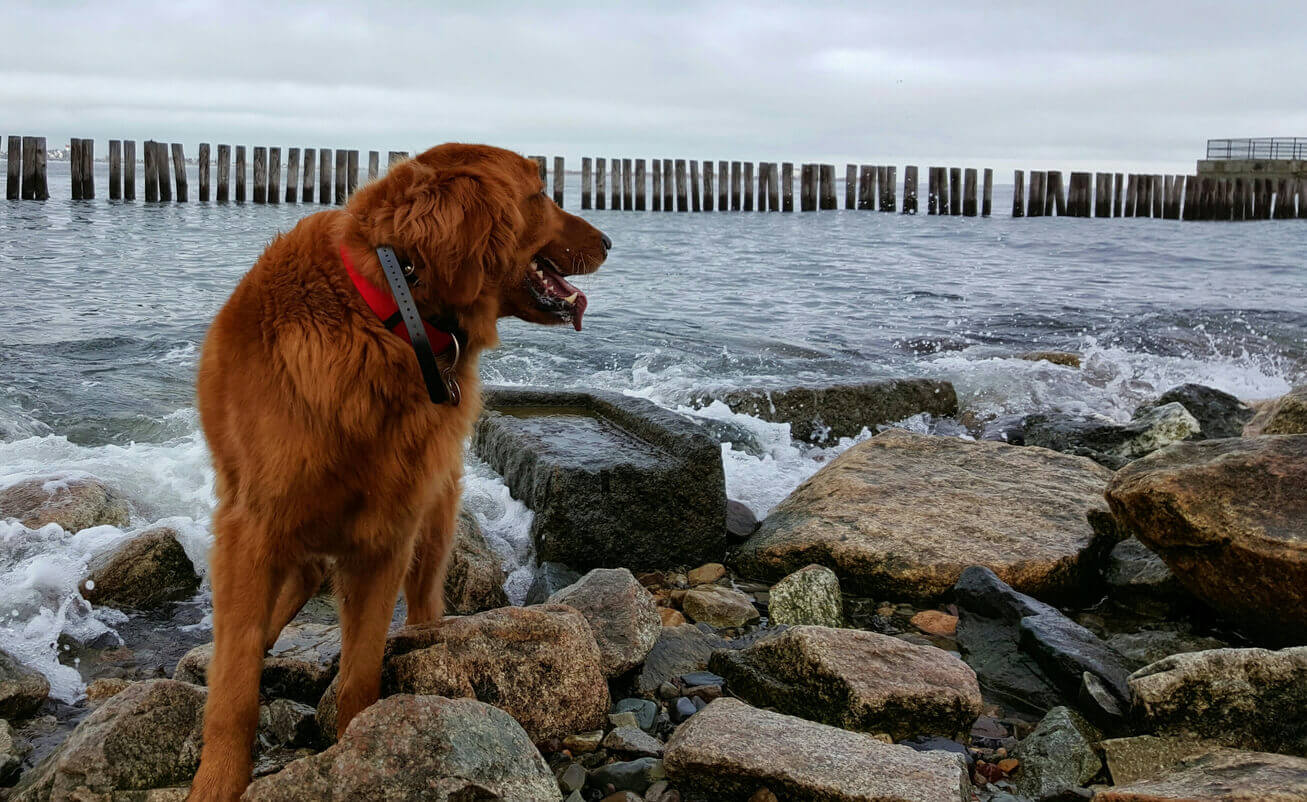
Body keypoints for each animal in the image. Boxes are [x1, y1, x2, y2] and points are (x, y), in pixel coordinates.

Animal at [186, 144, 609, 802]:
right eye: (541, 193)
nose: (610, 242)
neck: (388, 313)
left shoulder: (385, 535)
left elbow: (360, 671)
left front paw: (360, 746)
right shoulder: (251, 526)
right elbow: (236, 684)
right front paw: (218, 781)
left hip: (433, 513)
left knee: (418, 598)